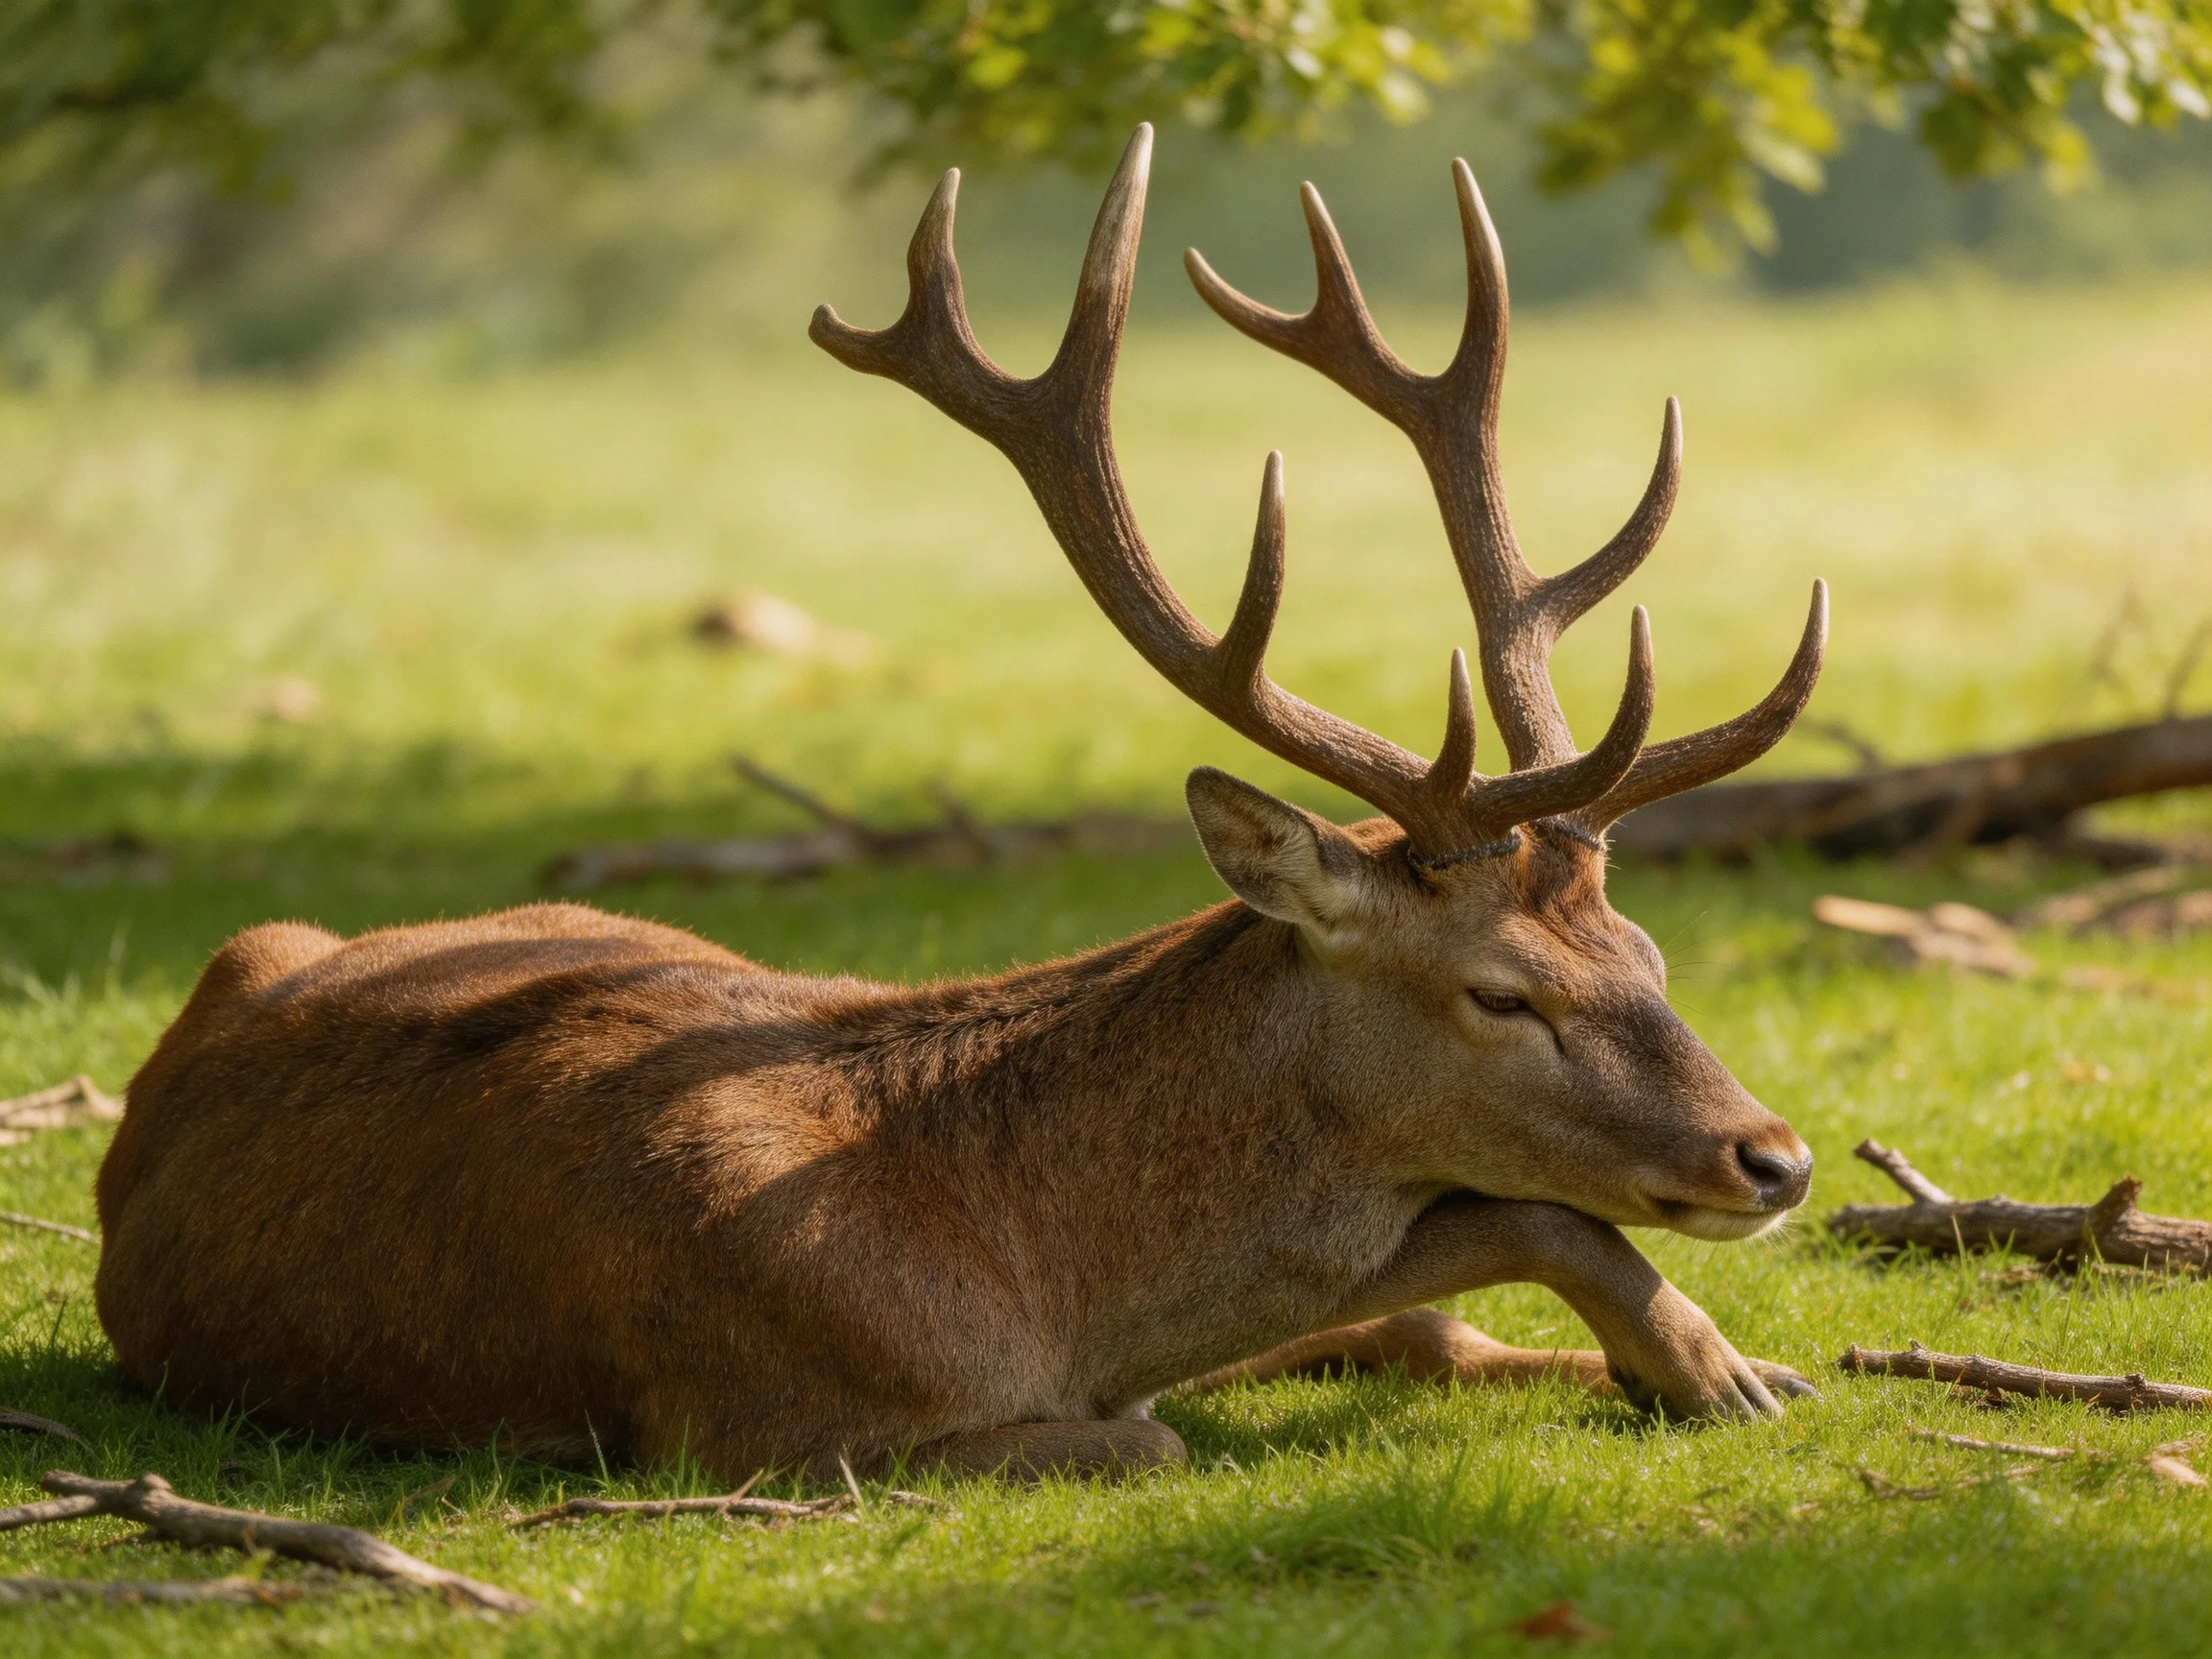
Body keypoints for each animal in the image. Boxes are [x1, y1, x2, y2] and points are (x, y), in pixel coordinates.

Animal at [95, 124, 1828, 1485]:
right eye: (1500, 993)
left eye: (1650, 954)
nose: (1774, 1158)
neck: (1033, 1282)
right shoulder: (776, 1420)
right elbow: (1171, 1424)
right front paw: (1713, 1362)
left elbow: (1445, 1291)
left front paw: (1723, 1367)